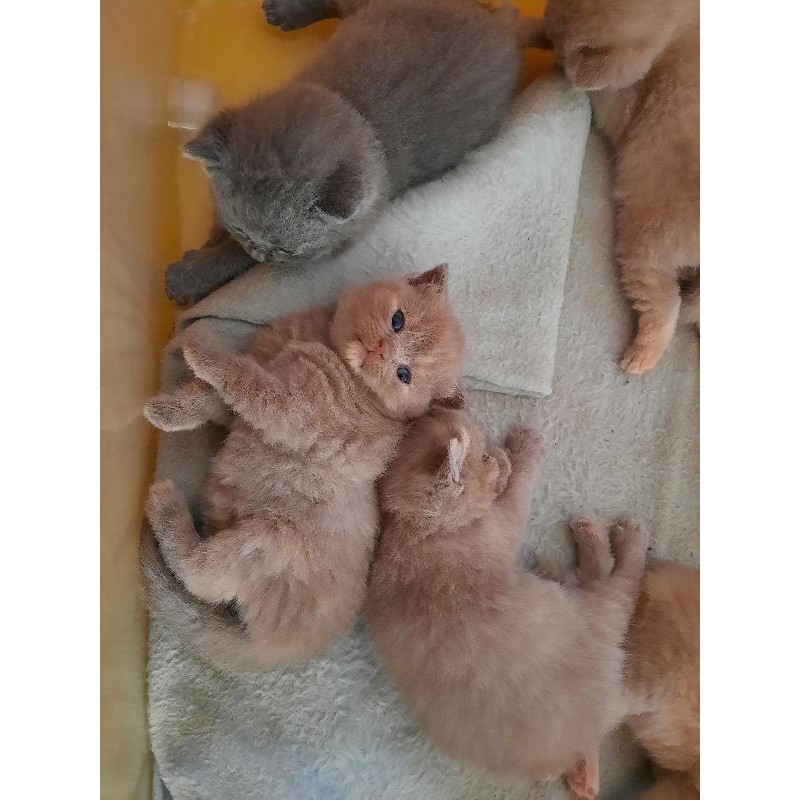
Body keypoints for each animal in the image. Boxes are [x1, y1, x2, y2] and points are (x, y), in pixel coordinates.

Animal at [141, 265, 465, 672]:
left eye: (404, 374)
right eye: (397, 321)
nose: (380, 350)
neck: (324, 344)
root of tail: (276, 650)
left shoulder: (287, 408)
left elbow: (243, 379)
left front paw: (200, 354)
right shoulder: (244, 406)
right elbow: (210, 398)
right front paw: (168, 412)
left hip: (265, 541)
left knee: (196, 571)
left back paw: (165, 505)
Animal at [165, 0, 538, 305]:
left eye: (286, 250)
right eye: (244, 231)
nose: (260, 253)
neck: (353, 109)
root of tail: (503, 24)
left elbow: (232, 257)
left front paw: (190, 276)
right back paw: (284, 11)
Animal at [366, 406, 648, 797]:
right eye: (484, 458)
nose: (500, 457)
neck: (419, 529)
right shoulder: (505, 521)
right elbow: (518, 489)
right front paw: (525, 447)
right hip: (586, 613)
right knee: (619, 584)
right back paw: (614, 539)